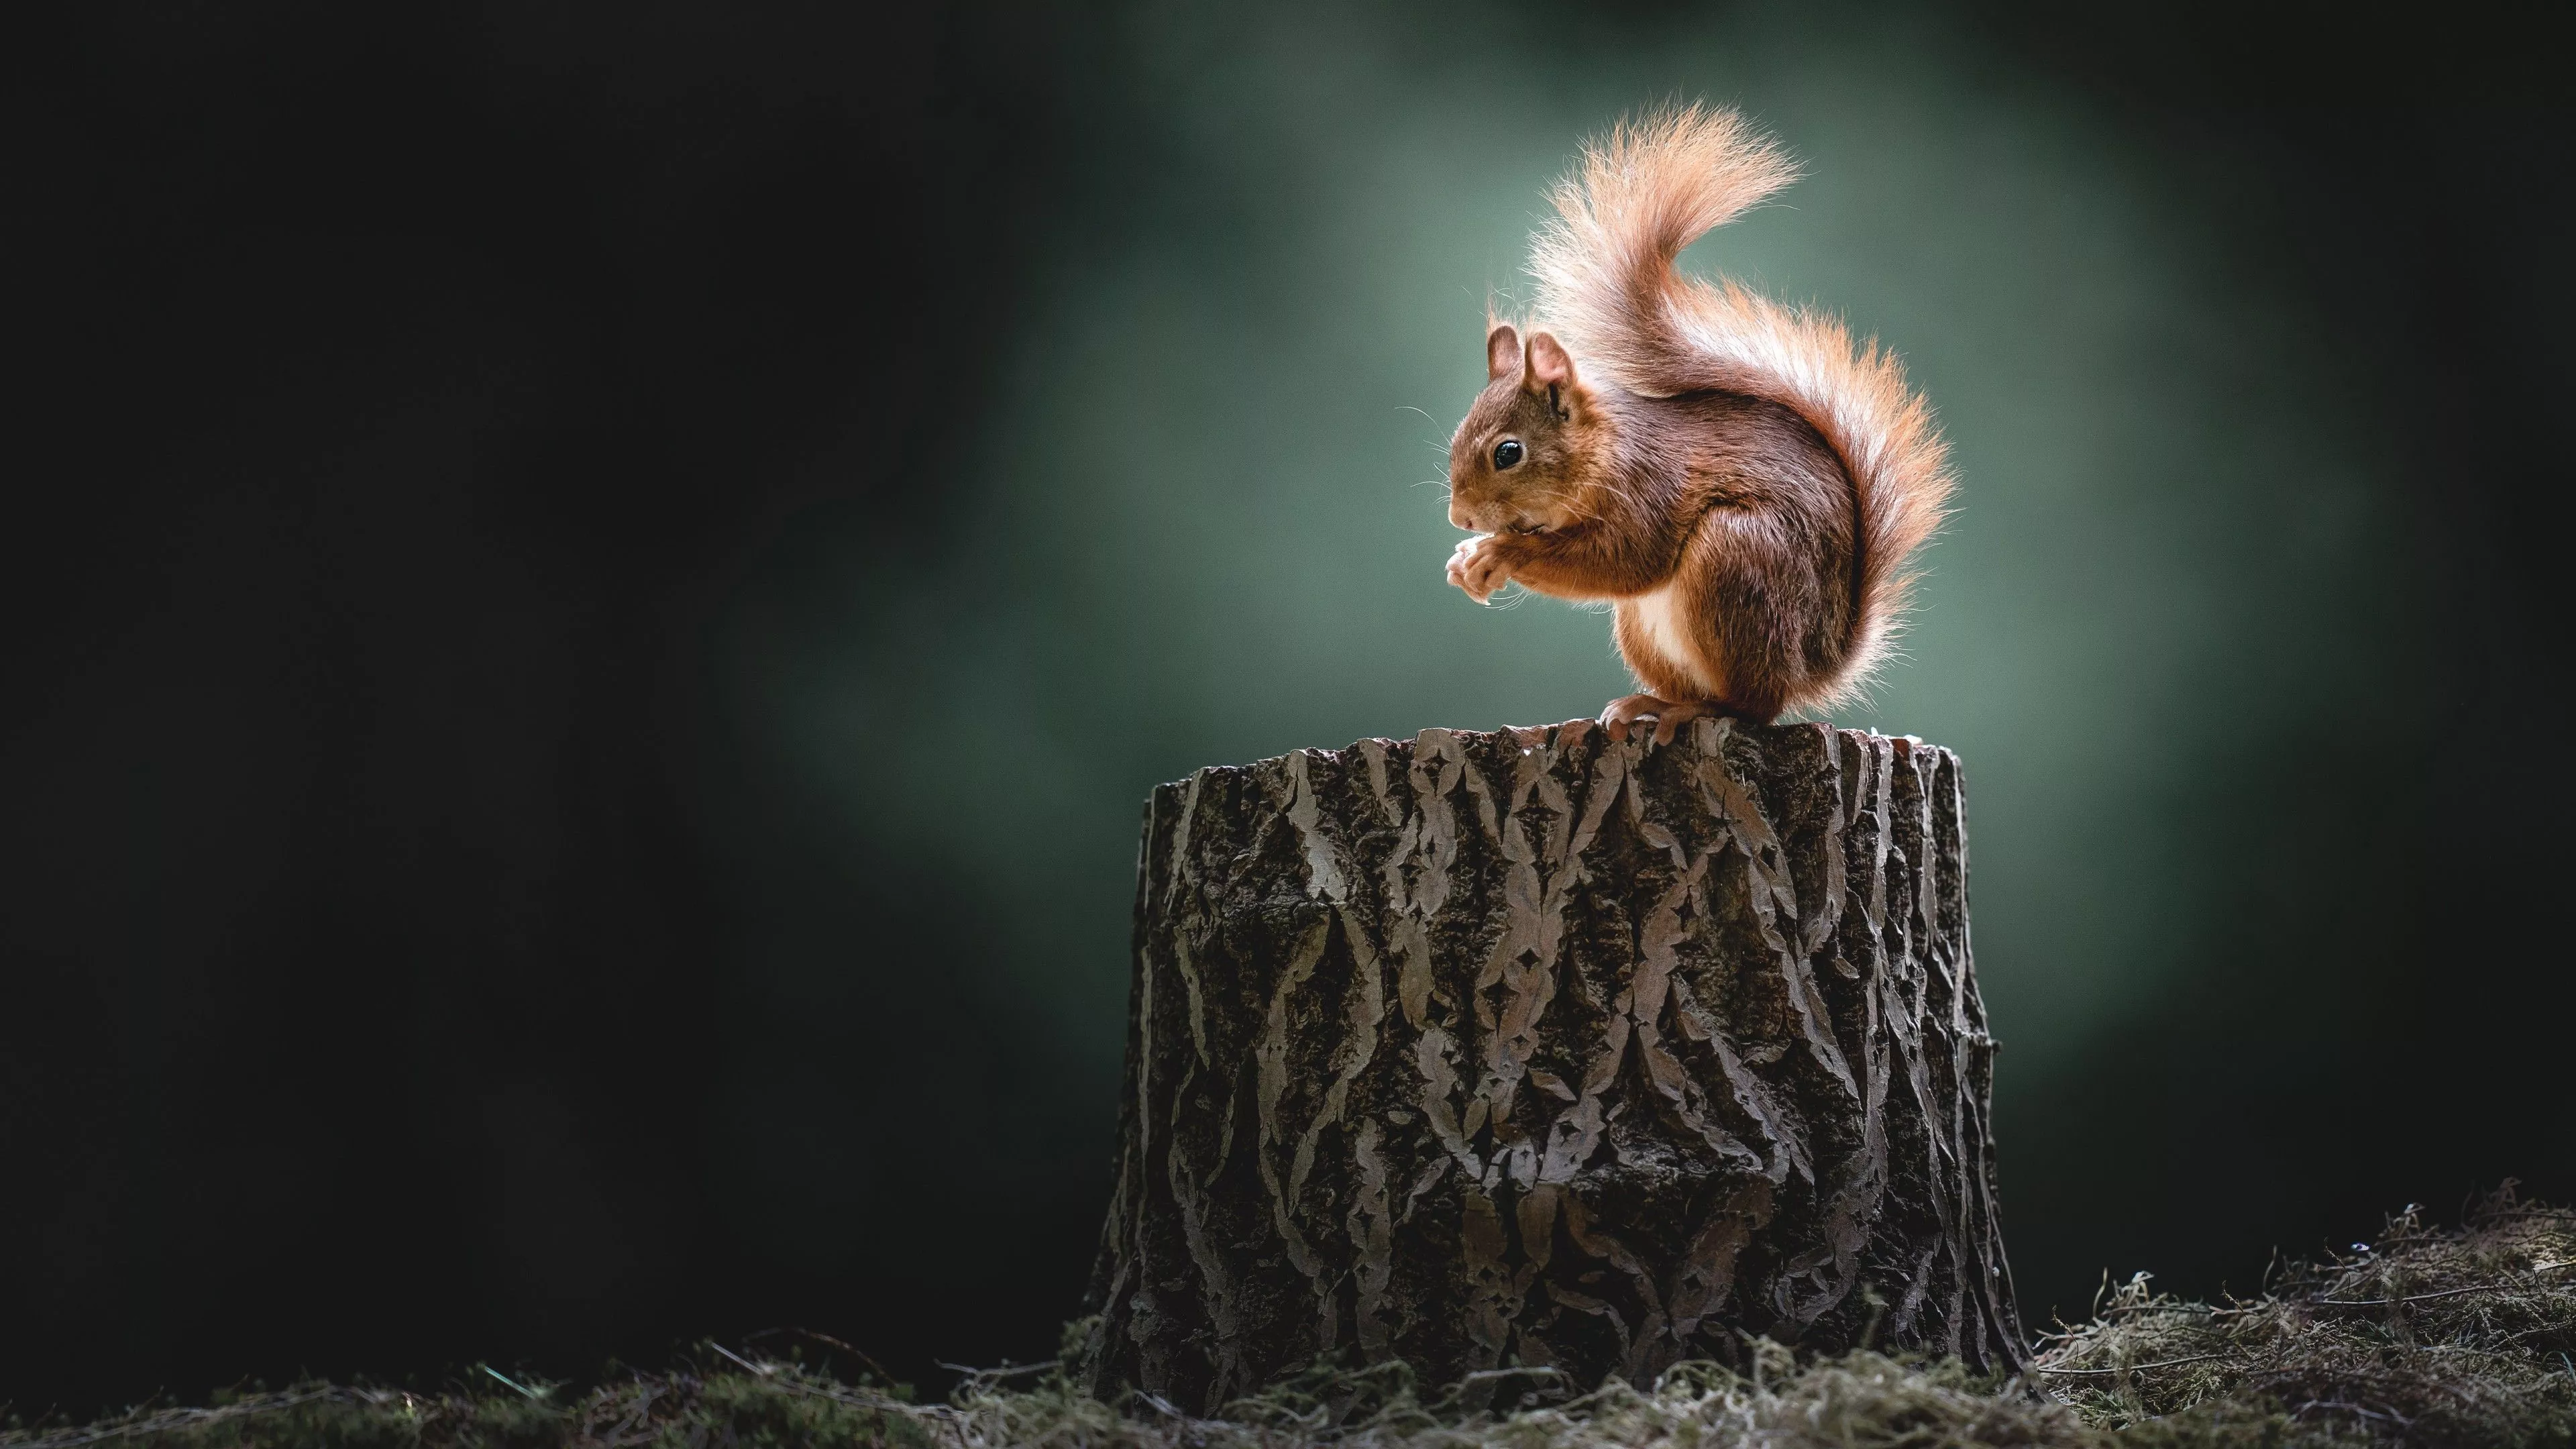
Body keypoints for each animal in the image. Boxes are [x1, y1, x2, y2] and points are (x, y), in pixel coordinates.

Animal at [1443, 104, 1952, 742]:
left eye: (1508, 452)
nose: (1460, 518)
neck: (1604, 449)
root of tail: (1815, 663)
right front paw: (1467, 561)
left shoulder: (1648, 487)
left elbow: (1625, 559)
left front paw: (1500, 554)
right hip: (1646, 625)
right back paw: (1651, 702)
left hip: (1735, 561)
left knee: (1753, 706)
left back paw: (1692, 711)